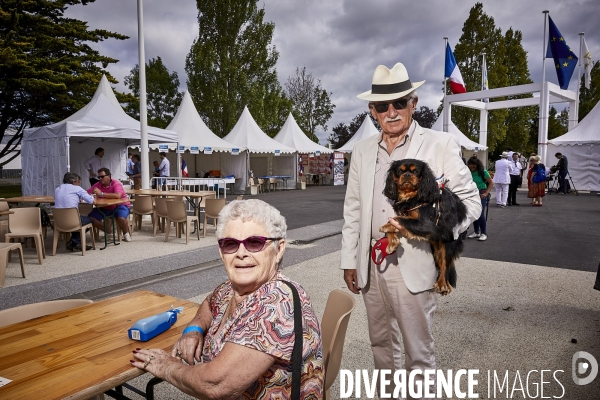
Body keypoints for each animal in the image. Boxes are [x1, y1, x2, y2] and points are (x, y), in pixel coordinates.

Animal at [380, 159, 468, 294]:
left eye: (416, 171)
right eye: (400, 171)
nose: (407, 175)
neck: (411, 195)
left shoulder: (426, 224)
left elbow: (398, 219)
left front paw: (386, 226)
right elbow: (397, 221)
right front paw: (392, 243)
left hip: (448, 244)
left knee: (445, 264)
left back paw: (442, 284)